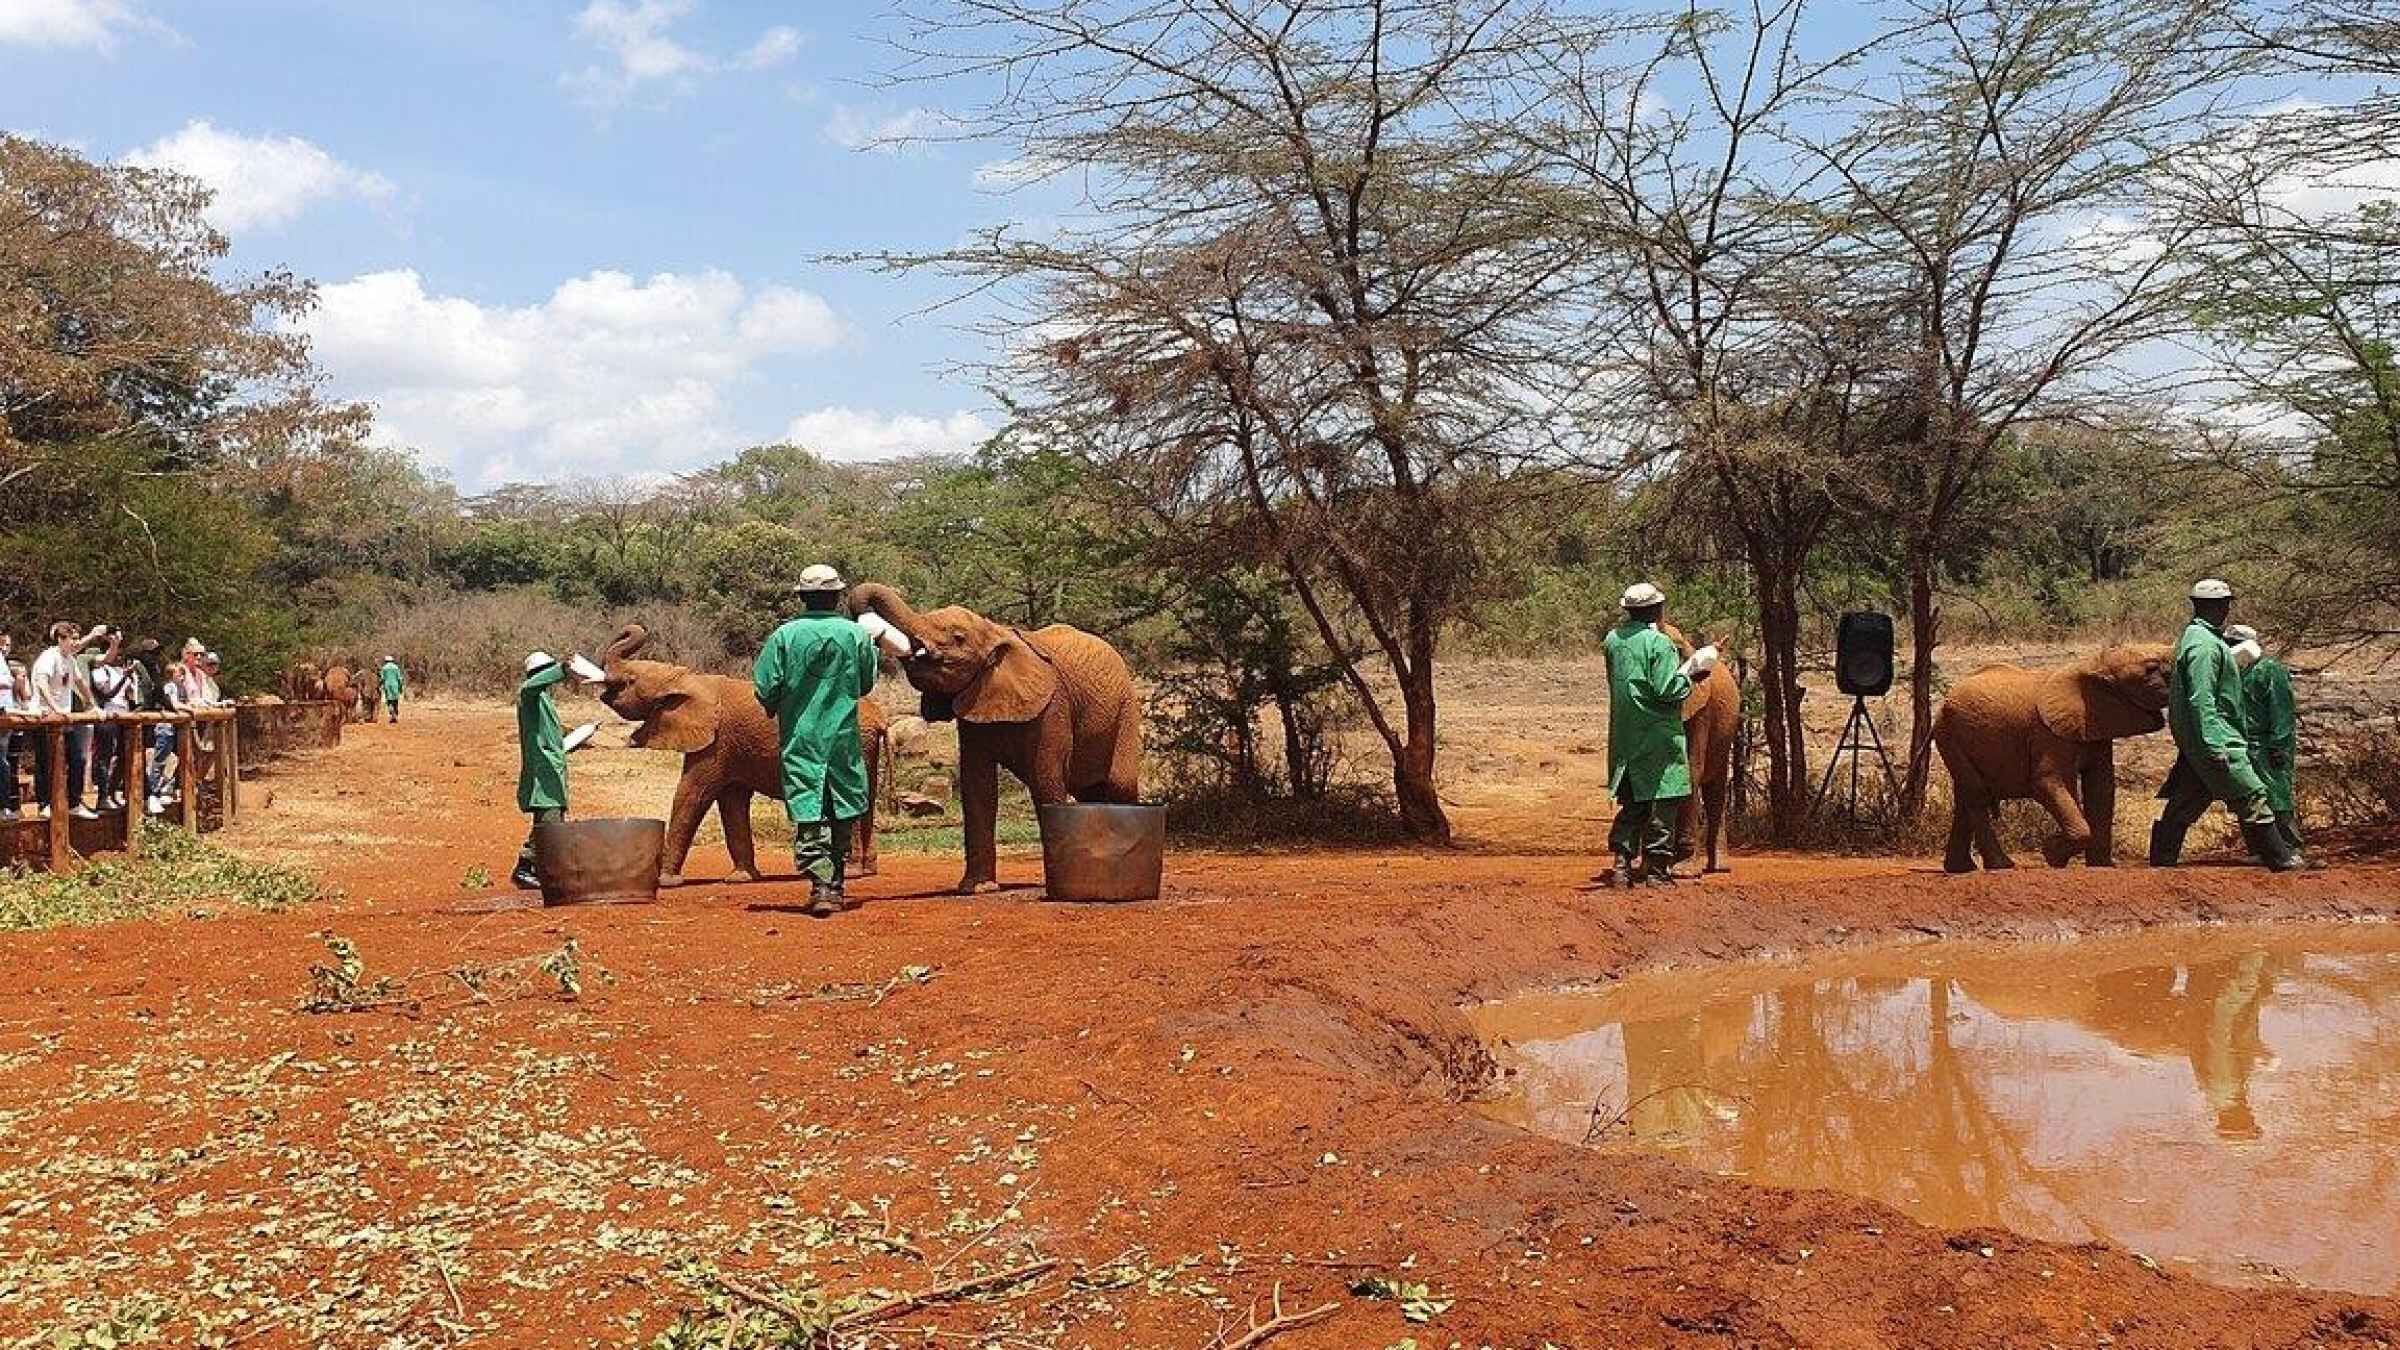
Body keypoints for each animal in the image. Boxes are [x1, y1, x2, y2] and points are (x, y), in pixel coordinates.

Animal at [844, 581, 1142, 888]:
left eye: (958, 637)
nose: (873, 630)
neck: (996, 631)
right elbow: (977, 786)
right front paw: (977, 888)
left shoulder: (1053, 705)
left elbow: (1046, 780)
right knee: (1088, 791)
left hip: (1126, 711)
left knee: (1118, 784)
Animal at [1929, 643, 2179, 874]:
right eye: (2151, 669)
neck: (2093, 664)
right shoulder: (2048, 734)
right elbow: (2047, 782)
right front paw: (2051, 854)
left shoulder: (2095, 723)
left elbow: (2101, 788)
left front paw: (2101, 867)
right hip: (1949, 735)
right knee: (1977, 793)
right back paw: (2002, 866)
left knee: (1965, 796)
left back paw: (1961, 869)